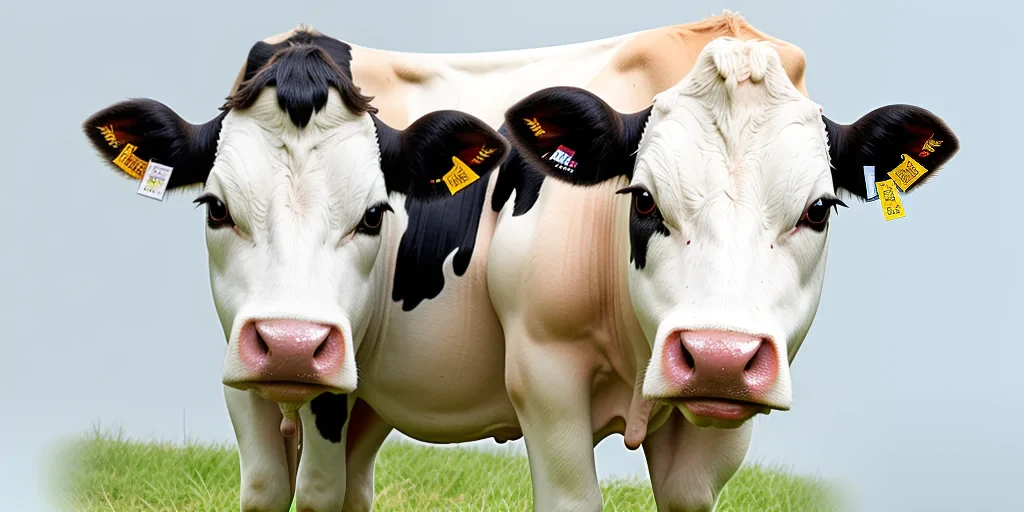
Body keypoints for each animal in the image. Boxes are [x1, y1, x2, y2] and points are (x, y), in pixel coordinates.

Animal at [81, 11, 959, 512]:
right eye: (643, 201)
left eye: (817, 211)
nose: (717, 354)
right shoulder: (544, 370)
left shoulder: (725, 423)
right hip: (264, 375)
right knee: (282, 485)